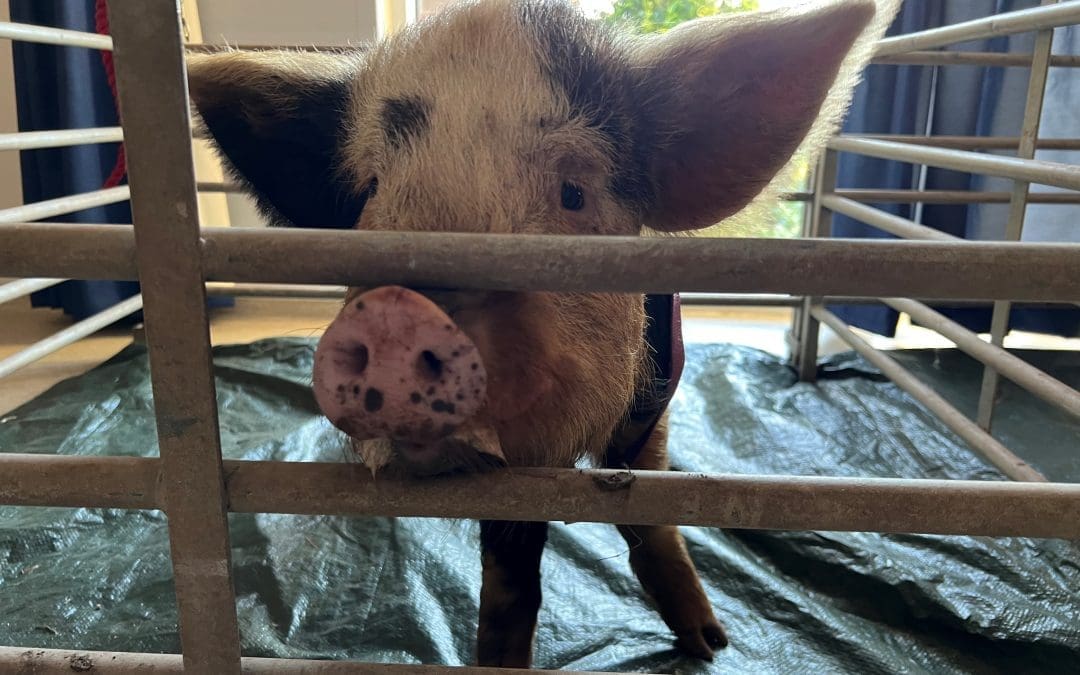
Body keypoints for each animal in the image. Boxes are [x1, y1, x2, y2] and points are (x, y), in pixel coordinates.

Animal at [185, 0, 894, 665]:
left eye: (573, 194)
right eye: (372, 192)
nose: (399, 312)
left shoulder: (657, 395)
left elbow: (650, 504)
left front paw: (709, 645)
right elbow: (511, 567)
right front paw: (499, 662)